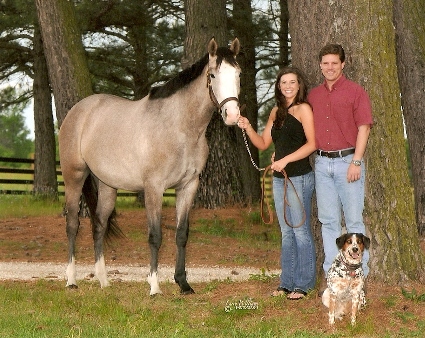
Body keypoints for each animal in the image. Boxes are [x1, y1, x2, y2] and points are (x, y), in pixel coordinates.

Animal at [58, 37, 240, 296]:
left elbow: (181, 234)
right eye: (213, 75)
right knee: (73, 224)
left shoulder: (188, 186)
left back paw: (104, 281)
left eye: (238, 74)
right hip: (74, 177)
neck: (179, 128)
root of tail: (79, 111)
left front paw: (183, 284)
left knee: (99, 225)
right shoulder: (154, 188)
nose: (232, 114)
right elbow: (155, 236)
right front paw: (154, 286)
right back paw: (71, 280)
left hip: (107, 185)